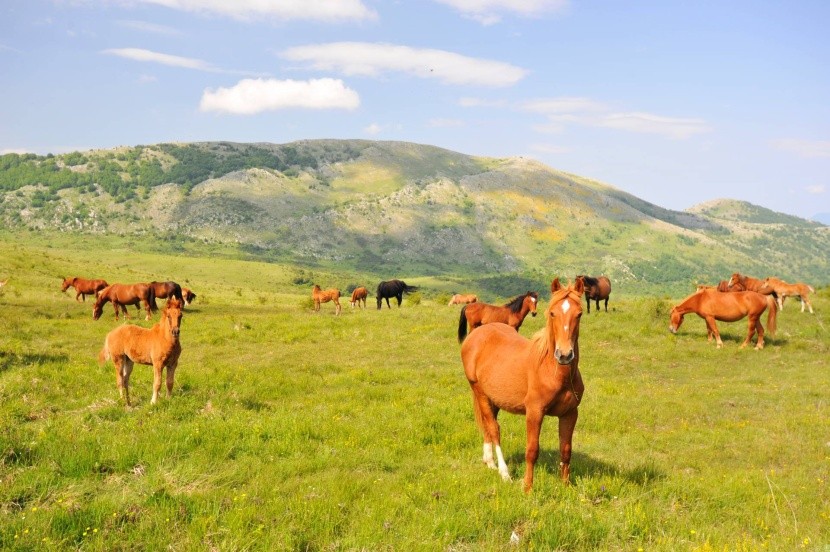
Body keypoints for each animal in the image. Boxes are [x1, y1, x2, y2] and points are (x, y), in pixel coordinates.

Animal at [462, 278, 584, 490]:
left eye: (579, 314)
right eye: (552, 313)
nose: (564, 355)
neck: (552, 372)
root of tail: (475, 336)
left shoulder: (570, 413)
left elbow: (566, 450)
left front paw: (566, 485)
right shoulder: (534, 412)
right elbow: (532, 450)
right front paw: (527, 487)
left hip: (494, 399)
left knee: (487, 425)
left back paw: (489, 461)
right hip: (480, 392)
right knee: (493, 428)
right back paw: (503, 472)